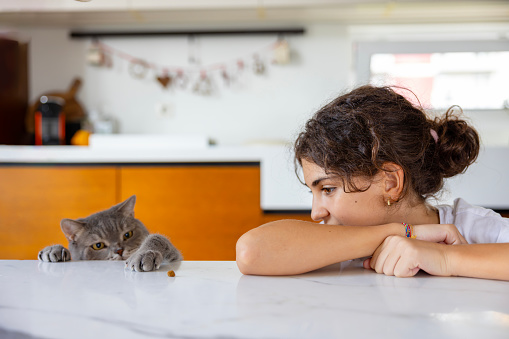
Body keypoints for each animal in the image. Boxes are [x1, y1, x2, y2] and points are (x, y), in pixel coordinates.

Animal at [39, 195, 183, 272]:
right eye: (98, 245)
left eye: (127, 235)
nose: (119, 251)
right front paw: (52, 250)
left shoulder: (176, 256)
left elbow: (157, 238)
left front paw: (144, 254)